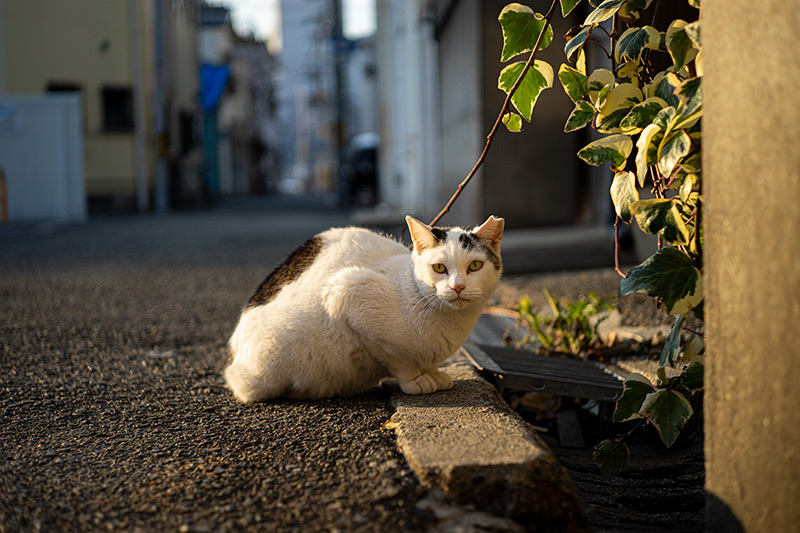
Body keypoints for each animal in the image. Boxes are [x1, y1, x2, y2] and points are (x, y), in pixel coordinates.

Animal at [222, 214, 504, 402]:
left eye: (475, 266)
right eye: (439, 268)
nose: (458, 287)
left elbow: (427, 362)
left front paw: (434, 373)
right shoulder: (345, 291)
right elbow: (399, 360)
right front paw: (416, 379)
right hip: (264, 370)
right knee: (236, 380)